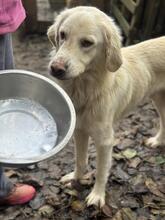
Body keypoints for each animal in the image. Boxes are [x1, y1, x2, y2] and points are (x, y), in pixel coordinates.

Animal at [47, 5, 165, 208]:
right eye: (62, 35)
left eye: (87, 43)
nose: (56, 69)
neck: (86, 89)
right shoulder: (80, 130)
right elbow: (80, 160)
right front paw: (75, 178)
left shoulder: (105, 140)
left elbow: (101, 171)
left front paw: (97, 195)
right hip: (158, 99)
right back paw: (157, 141)